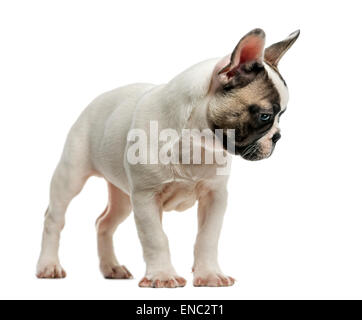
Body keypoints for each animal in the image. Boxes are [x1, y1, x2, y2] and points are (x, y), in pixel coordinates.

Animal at [36, 27, 300, 288]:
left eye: (282, 115)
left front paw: (209, 274)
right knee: (54, 218)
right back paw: (48, 265)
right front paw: (162, 276)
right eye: (265, 116)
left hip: (123, 198)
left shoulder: (215, 196)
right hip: (72, 175)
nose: (278, 136)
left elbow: (207, 237)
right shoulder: (146, 197)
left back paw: (111, 267)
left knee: (104, 223)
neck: (195, 143)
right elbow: (156, 239)